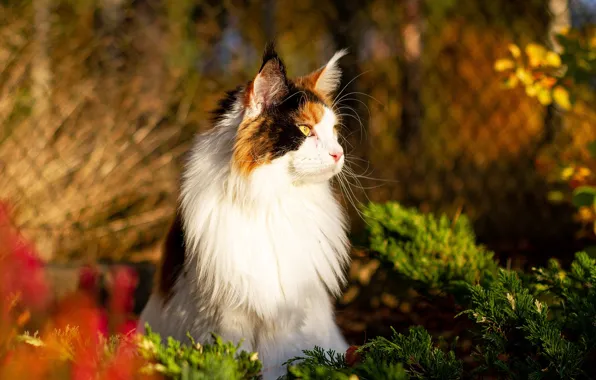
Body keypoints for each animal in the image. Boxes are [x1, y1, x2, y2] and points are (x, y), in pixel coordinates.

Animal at [139, 43, 354, 378]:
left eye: (333, 131)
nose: (339, 153)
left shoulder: (287, 317)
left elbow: (278, 363)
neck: (272, 201)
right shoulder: (226, 312)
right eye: (305, 129)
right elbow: (232, 357)